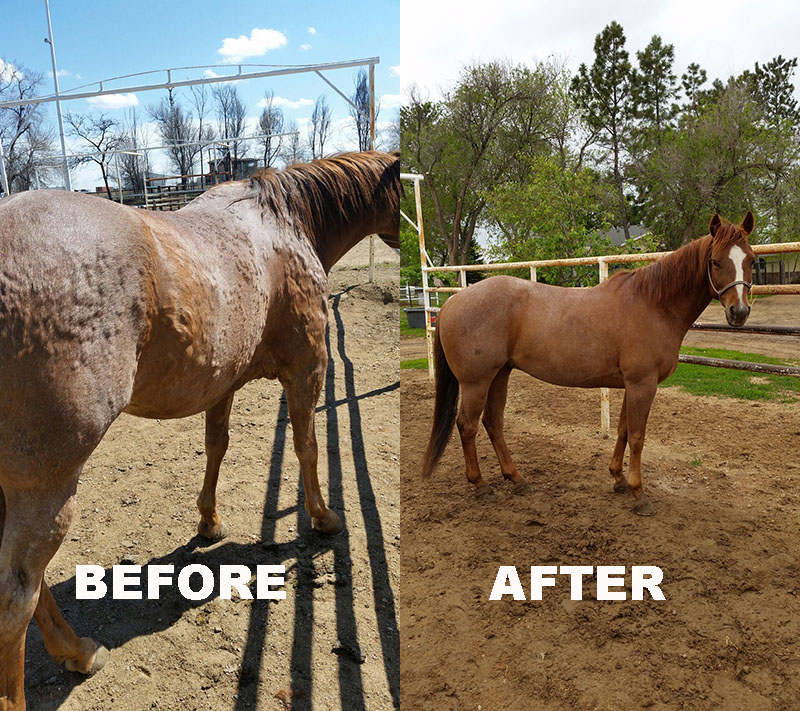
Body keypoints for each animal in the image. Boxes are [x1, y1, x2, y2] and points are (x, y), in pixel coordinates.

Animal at [0, 150, 400, 709]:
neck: (284, 222)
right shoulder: (308, 368)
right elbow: (306, 446)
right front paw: (323, 517)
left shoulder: (223, 381)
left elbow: (217, 446)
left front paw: (209, 522)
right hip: (47, 485)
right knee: (17, 595)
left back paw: (79, 652)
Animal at [421, 212, 755, 518]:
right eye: (715, 262)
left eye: (751, 260)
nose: (739, 312)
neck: (654, 305)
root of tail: (452, 302)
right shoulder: (643, 383)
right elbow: (637, 436)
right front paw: (639, 494)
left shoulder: (632, 384)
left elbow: (623, 430)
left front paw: (618, 479)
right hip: (476, 381)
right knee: (467, 425)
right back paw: (481, 485)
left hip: (499, 375)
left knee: (493, 423)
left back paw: (516, 479)